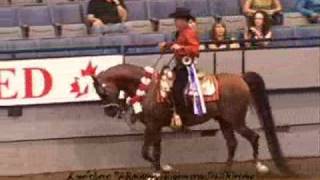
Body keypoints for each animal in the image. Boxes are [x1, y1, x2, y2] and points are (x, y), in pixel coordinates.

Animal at [92, 63, 292, 176]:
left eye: (102, 91)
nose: (110, 111)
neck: (148, 88)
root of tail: (240, 78)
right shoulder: (156, 126)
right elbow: (156, 150)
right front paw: (160, 168)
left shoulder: (152, 126)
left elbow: (144, 151)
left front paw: (159, 170)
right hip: (224, 121)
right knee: (232, 143)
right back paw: (226, 169)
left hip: (236, 121)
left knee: (253, 137)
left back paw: (259, 167)